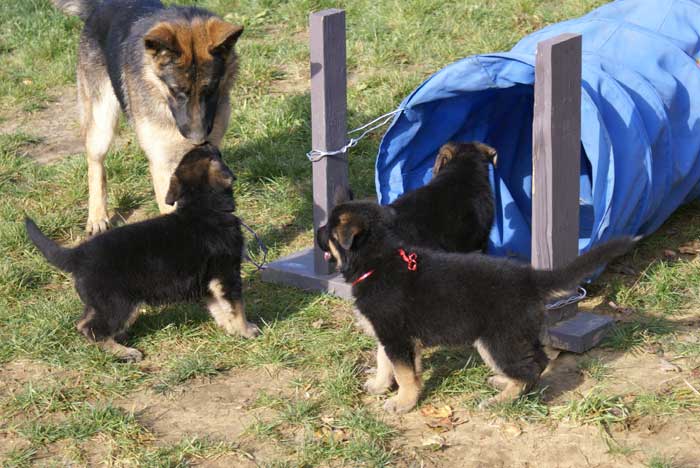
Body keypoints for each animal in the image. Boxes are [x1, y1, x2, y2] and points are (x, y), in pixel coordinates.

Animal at [24, 144, 262, 362]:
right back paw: (125, 352)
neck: (202, 208)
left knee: (83, 324)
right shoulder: (226, 274)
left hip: (101, 302)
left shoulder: (208, 282)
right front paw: (247, 330)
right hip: (119, 303)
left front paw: (232, 330)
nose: (205, 141)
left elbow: (220, 309)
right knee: (94, 329)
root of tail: (77, 255)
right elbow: (236, 306)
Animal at [52, 0, 243, 234]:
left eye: (212, 89)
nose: (198, 139)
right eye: (176, 90)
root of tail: (102, 5)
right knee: (95, 164)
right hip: (102, 125)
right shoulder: (162, 164)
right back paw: (97, 216)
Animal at [318, 204, 636, 414]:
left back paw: (501, 401)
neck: (378, 260)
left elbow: (405, 373)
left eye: (328, 229)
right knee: (539, 361)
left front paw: (402, 403)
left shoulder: (397, 337)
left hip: (497, 341)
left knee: (529, 370)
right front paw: (379, 386)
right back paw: (504, 383)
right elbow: (387, 364)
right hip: (516, 336)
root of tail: (530, 278)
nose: (317, 232)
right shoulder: (390, 336)